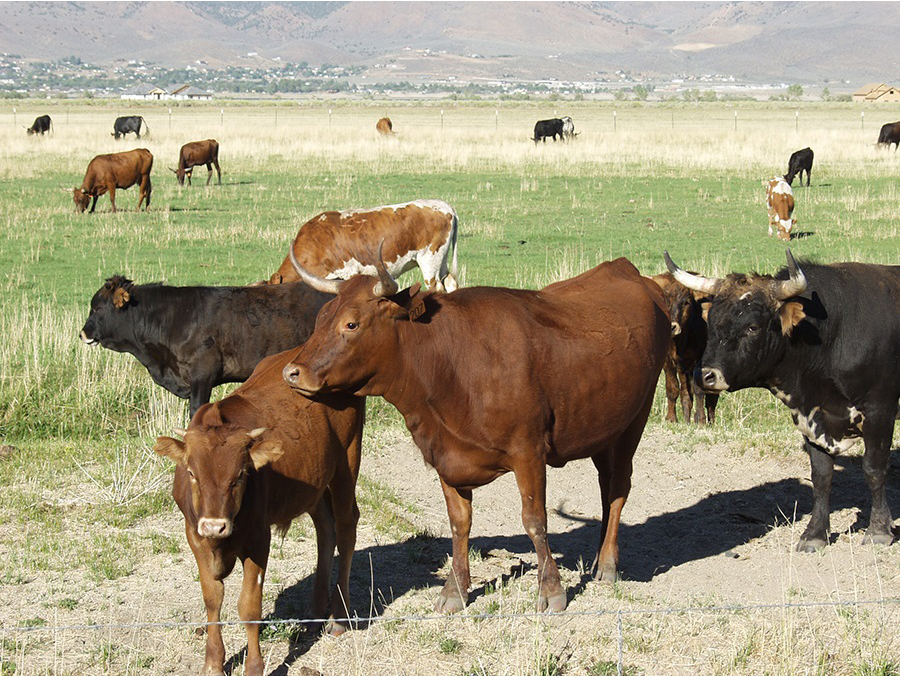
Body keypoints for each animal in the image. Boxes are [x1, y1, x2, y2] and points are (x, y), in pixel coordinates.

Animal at [155, 354, 366, 676]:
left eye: (241, 475)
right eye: (191, 473)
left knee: (345, 529)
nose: (215, 526)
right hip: (314, 483)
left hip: (347, 463)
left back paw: (338, 617)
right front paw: (213, 661)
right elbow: (212, 598)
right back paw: (314, 612)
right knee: (325, 531)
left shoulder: (258, 539)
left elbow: (249, 606)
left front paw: (254, 665)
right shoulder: (194, 534)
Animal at [282, 248, 668, 616]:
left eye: (351, 323)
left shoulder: (529, 451)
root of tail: (626, 270)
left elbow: (535, 520)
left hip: (636, 417)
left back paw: (608, 564)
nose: (292, 372)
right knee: (606, 487)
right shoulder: (446, 456)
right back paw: (600, 554)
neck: (451, 363)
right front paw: (455, 590)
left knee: (618, 487)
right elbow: (460, 524)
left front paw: (551, 591)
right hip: (603, 429)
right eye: (320, 318)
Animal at [652, 272, 720, 424]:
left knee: (711, 397)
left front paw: (701, 420)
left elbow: (699, 391)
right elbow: (673, 388)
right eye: (665, 301)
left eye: (686, 303)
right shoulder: (669, 362)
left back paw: (709, 420)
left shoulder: (699, 362)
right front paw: (672, 418)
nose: (672, 327)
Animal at [664, 252, 896, 556]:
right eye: (711, 323)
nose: (704, 375)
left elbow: (874, 469)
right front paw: (815, 534)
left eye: (752, 326)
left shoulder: (879, 411)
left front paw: (879, 530)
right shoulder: (811, 415)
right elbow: (821, 476)